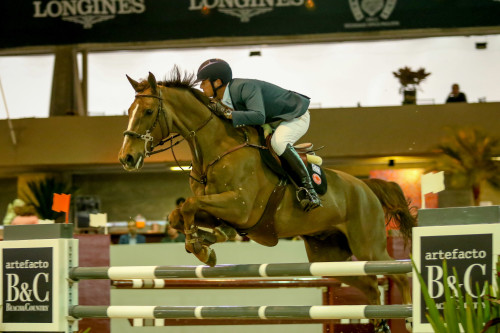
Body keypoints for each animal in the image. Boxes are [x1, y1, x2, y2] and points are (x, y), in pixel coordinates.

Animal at [119, 68, 416, 324]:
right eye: (129, 111)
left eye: (148, 111)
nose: (127, 158)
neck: (216, 149)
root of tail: (367, 187)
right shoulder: (220, 209)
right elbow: (178, 215)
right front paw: (208, 241)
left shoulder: (240, 207)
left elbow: (190, 205)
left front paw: (200, 246)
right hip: (328, 259)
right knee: (370, 286)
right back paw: (379, 320)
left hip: (369, 247)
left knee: (399, 275)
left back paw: (410, 315)